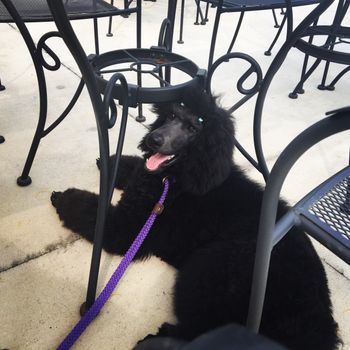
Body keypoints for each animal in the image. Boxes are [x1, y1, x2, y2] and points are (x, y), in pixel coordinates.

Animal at [51, 91, 340, 350]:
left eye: (192, 128)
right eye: (170, 116)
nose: (154, 139)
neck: (175, 179)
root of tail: (317, 329)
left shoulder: (128, 227)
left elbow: (88, 207)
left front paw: (62, 196)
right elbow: (135, 166)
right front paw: (111, 161)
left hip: (209, 267)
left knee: (207, 330)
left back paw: (159, 341)